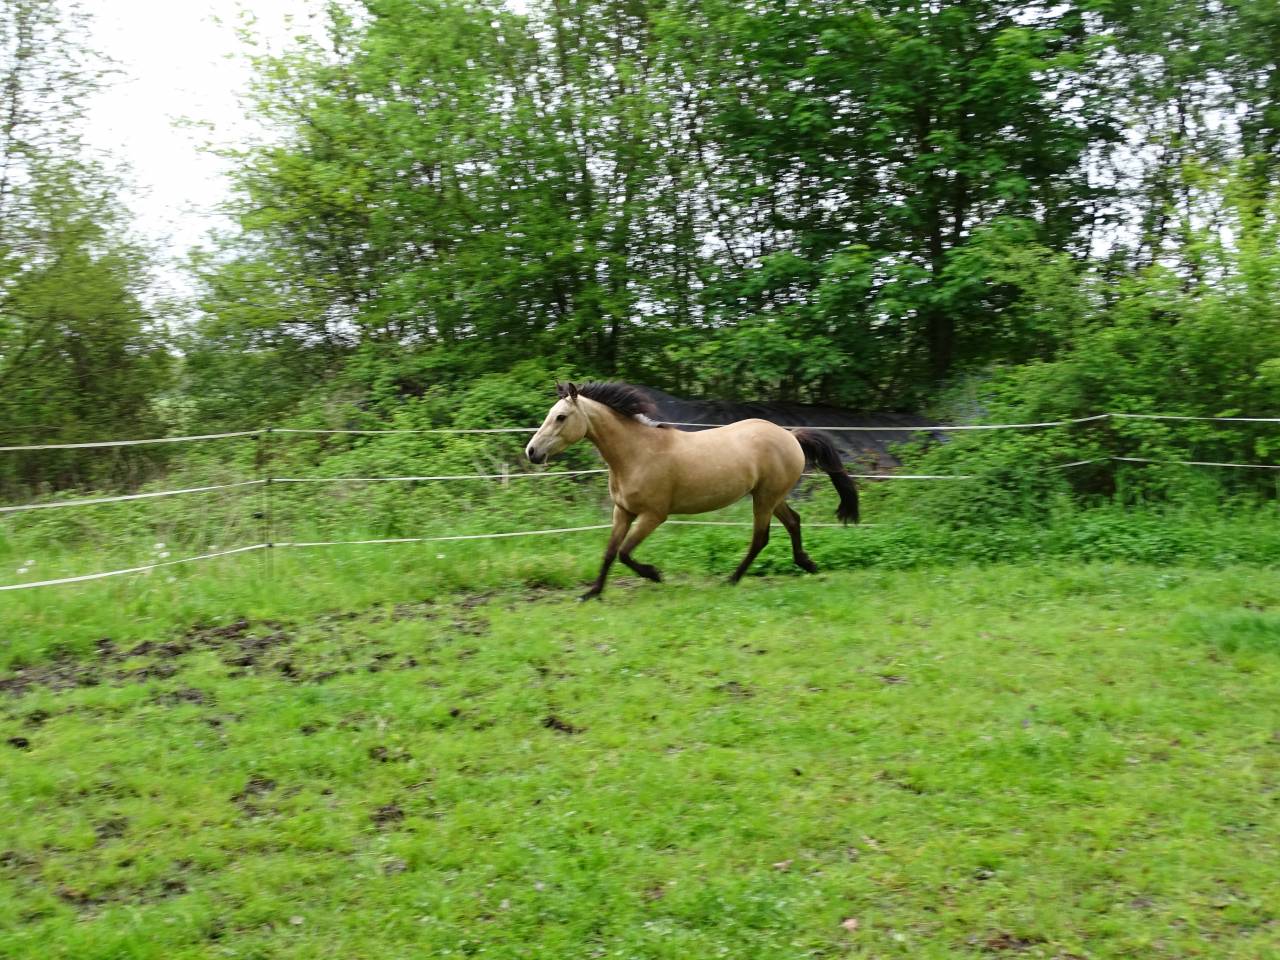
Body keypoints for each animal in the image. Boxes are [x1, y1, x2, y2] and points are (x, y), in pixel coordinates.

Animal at [526, 381, 859, 599]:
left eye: (561, 417)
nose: (532, 452)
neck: (636, 453)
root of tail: (790, 434)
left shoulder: (653, 515)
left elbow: (624, 552)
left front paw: (655, 574)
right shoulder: (623, 511)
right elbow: (609, 552)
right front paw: (591, 593)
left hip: (765, 499)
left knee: (760, 538)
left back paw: (732, 579)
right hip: (770, 496)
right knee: (793, 522)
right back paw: (808, 565)